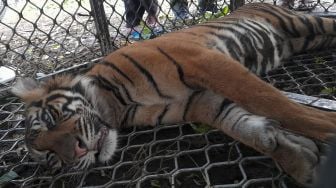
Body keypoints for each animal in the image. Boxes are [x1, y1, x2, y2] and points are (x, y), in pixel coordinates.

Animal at [10, 2, 336, 187]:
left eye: (52, 119)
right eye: (52, 159)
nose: (77, 152)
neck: (117, 106)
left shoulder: (203, 61)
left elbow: (273, 102)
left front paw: (326, 130)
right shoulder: (200, 102)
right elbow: (242, 124)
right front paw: (299, 158)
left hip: (302, 23)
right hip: (306, 39)